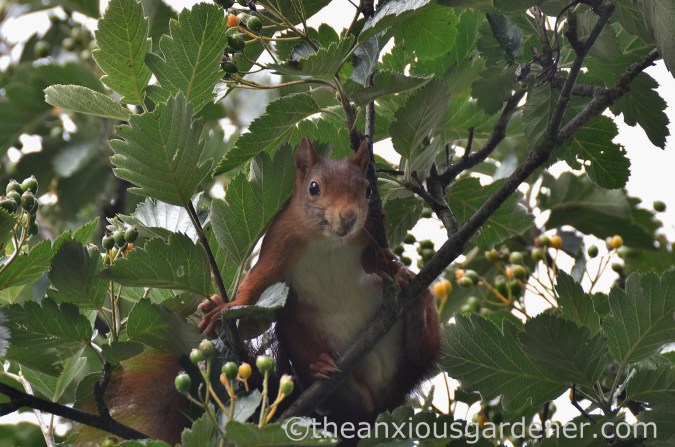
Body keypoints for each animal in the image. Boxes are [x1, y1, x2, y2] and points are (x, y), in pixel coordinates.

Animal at [199, 137, 440, 423]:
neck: (329, 242)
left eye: (368, 190)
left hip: (418, 348)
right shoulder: (279, 242)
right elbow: (255, 287)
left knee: (420, 355)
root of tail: (387, 399)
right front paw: (223, 307)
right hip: (296, 329)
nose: (348, 216)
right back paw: (328, 372)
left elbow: (374, 254)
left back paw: (415, 303)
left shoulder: (374, 225)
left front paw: (387, 264)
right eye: (314, 187)